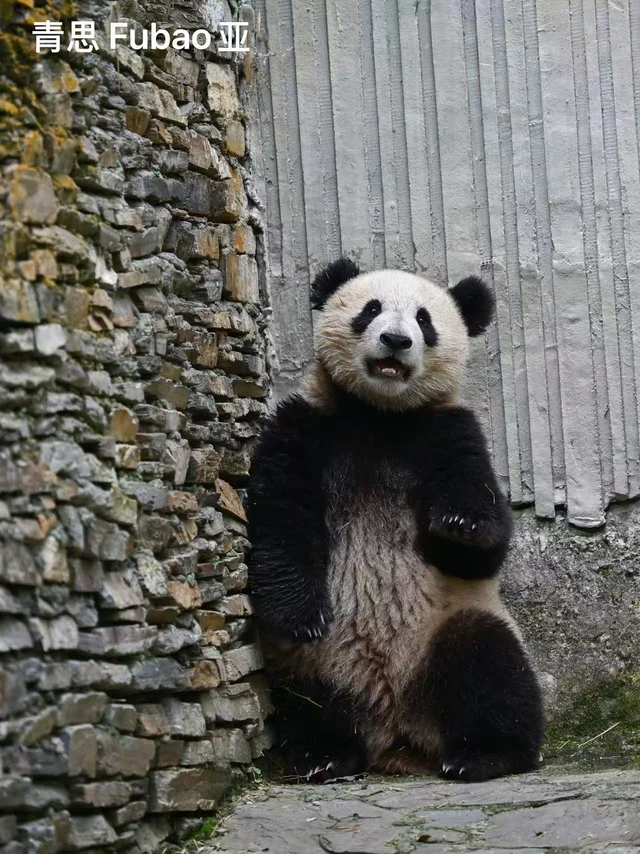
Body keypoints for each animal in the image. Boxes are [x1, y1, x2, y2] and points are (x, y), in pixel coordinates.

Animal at [247, 259, 543, 783]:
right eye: (371, 309)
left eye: (425, 320)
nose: (396, 340)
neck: (380, 415)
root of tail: (397, 734)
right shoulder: (305, 425)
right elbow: (279, 516)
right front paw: (300, 614)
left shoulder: (450, 432)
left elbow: (482, 546)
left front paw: (461, 525)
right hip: (313, 660)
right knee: (306, 697)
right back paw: (323, 755)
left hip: (447, 628)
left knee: (490, 664)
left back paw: (485, 754)